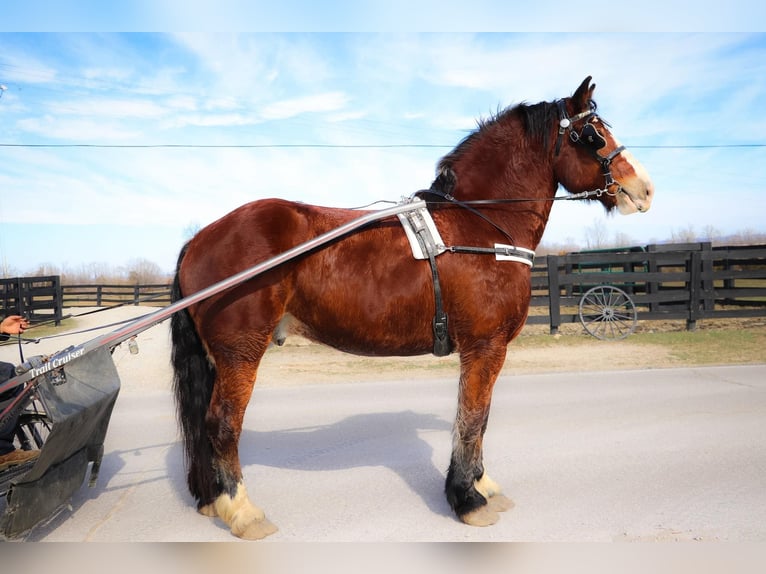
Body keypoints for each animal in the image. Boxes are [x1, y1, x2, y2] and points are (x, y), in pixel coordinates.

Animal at [170, 76, 656, 540]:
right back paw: (242, 510)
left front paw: (481, 486)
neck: (479, 224)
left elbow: (478, 418)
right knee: (222, 424)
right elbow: (471, 418)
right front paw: (468, 499)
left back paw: (214, 499)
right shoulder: (485, 346)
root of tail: (200, 238)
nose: (644, 189)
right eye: (592, 134)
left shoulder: (485, 350)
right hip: (240, 352)